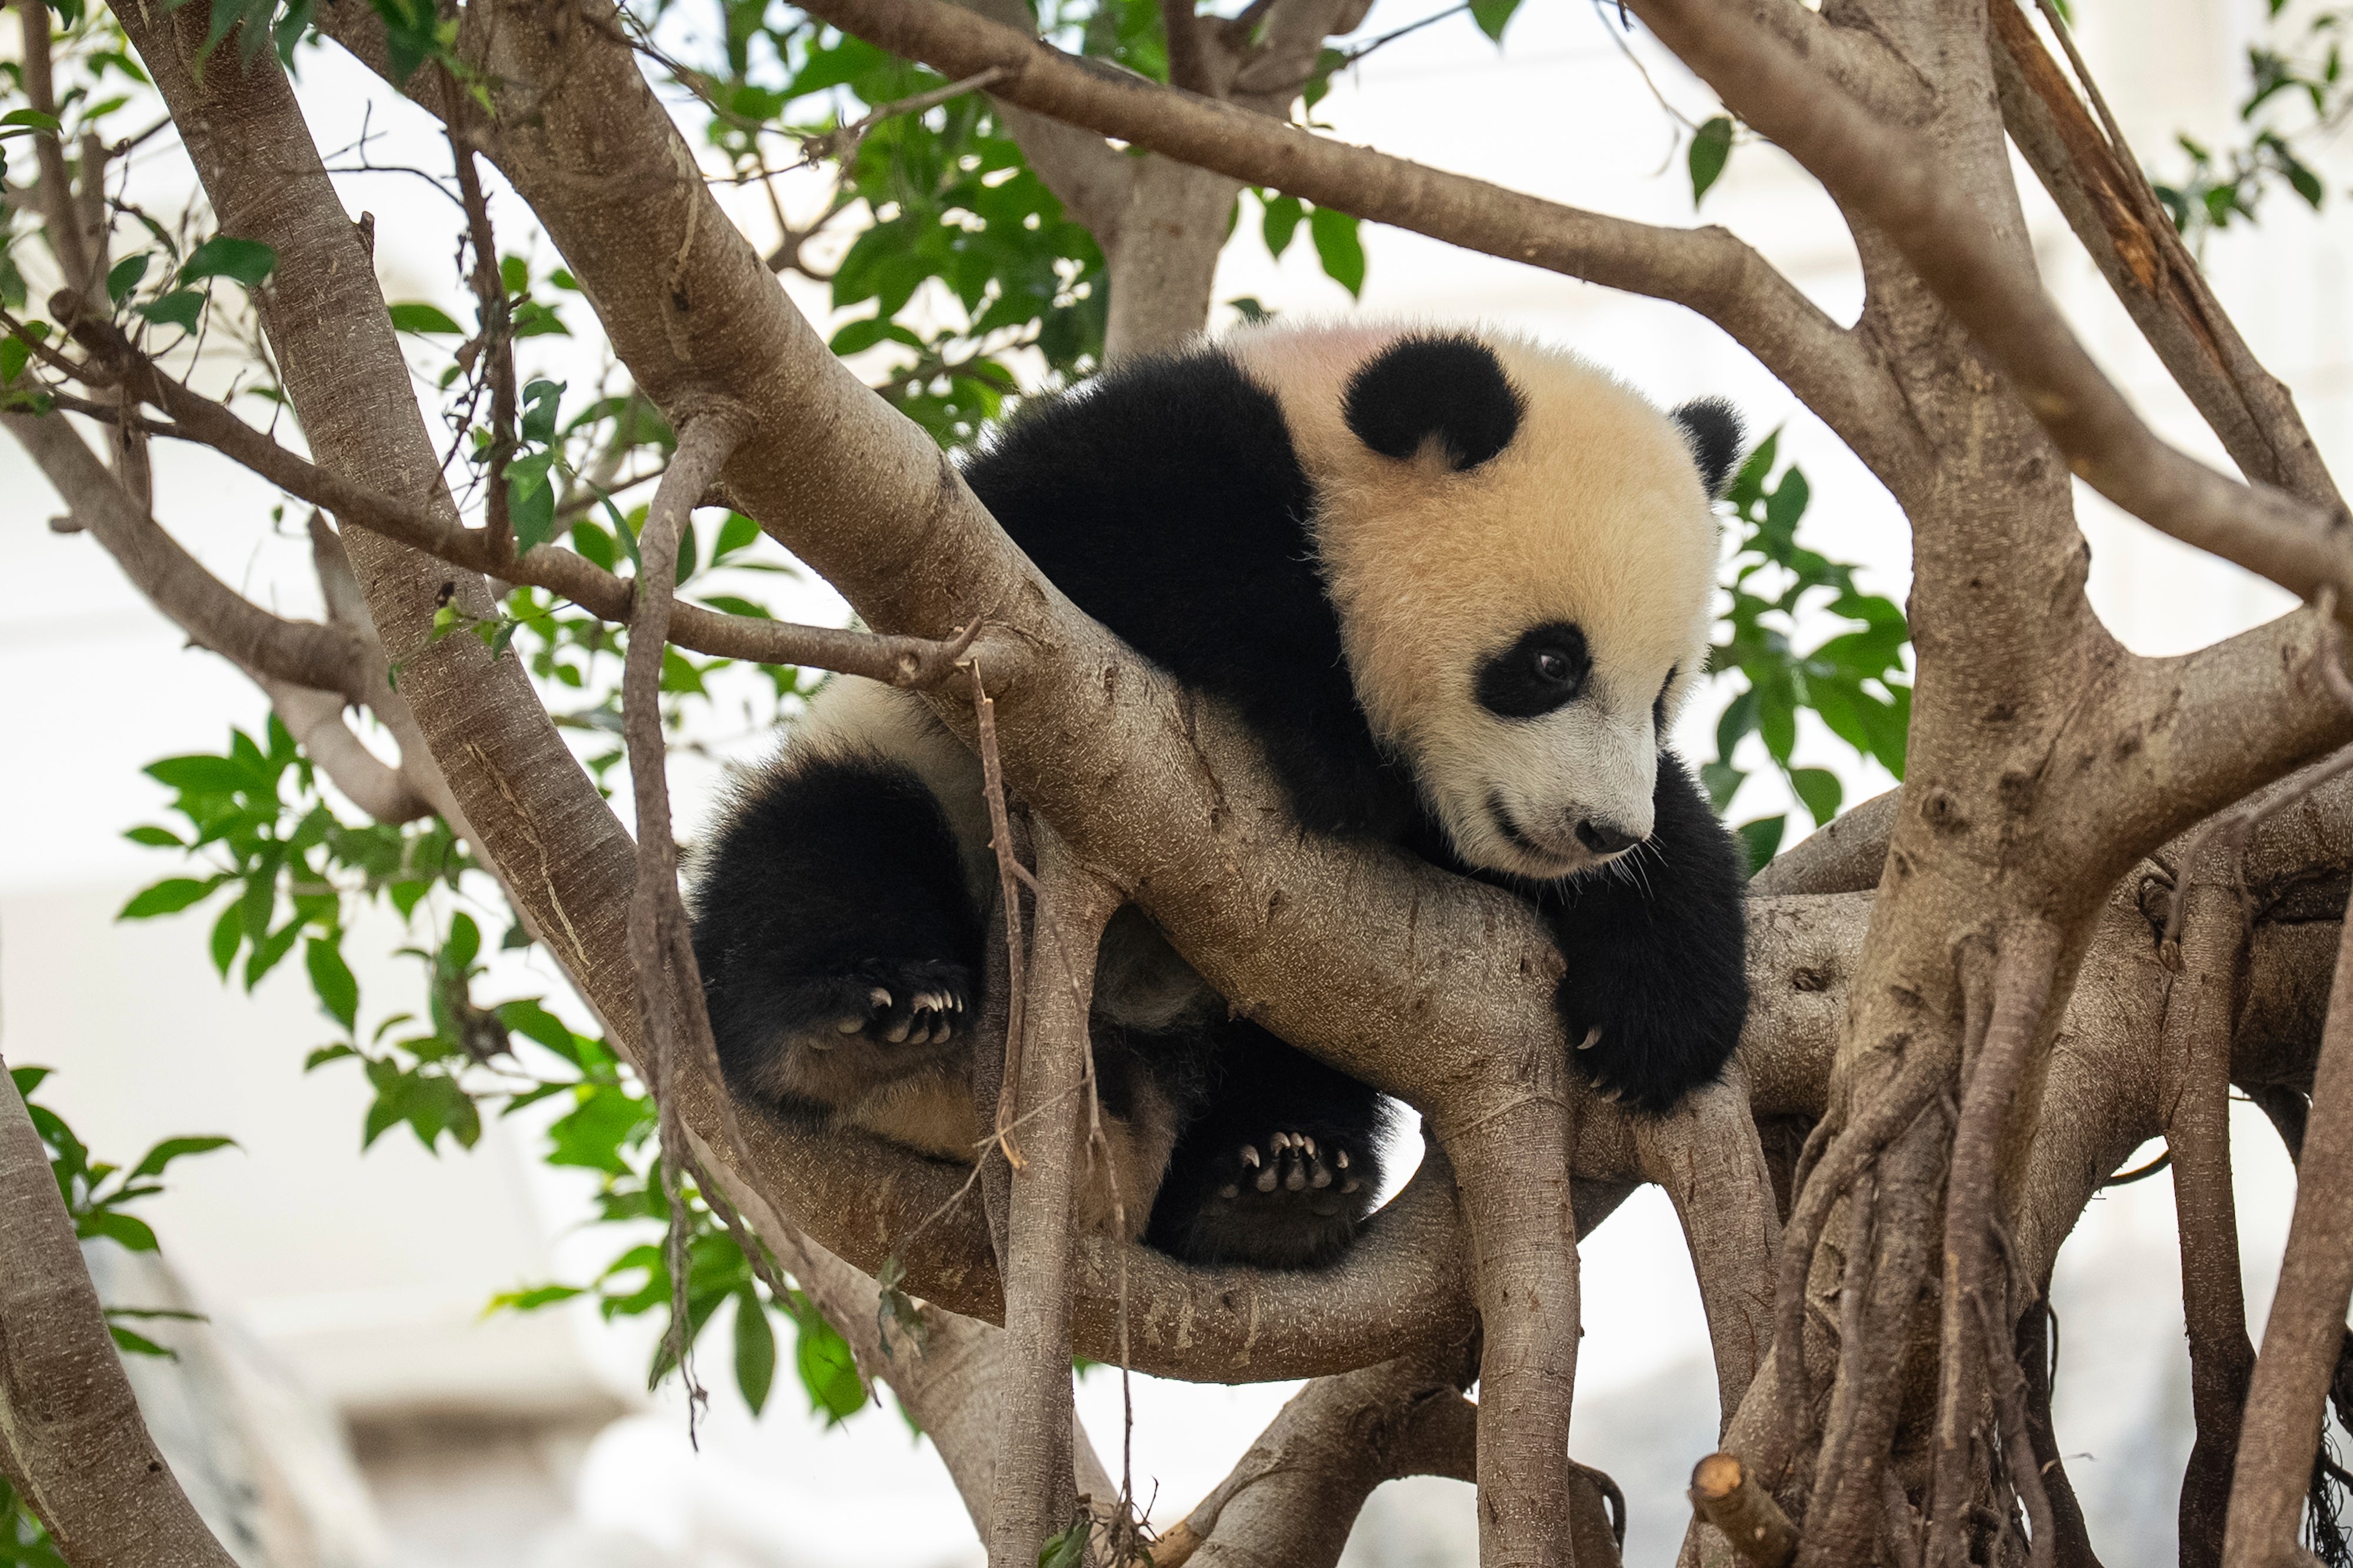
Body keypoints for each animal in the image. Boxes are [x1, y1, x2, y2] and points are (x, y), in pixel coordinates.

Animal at [689, 322, 1751, 1272]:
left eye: (1664, 691)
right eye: (1549, 662)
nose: (1602, 829)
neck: (1323, 440)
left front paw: (1662, 1008)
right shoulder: (1135, 467)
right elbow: (1091, 544)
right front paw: (1341, 748)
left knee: (1294, 1056)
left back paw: (1273, 1179)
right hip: (913, 781)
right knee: (825, 844)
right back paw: (859, 1023)